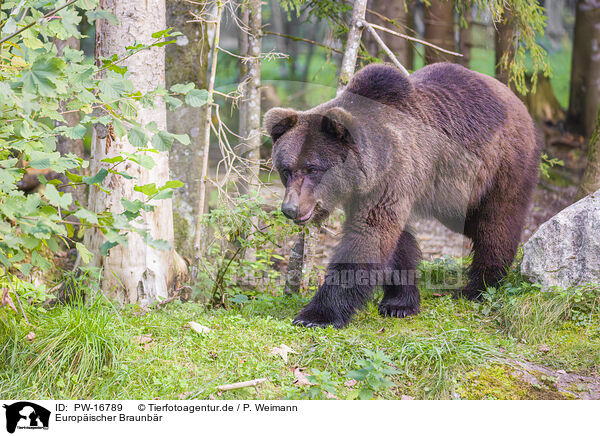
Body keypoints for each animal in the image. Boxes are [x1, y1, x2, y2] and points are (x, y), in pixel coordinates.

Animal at [264, 61, 540, 328]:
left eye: (313, 168)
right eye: (286, 170)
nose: (290, 208)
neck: (367, 171)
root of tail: (517, 99)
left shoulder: (393, 175)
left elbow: (366, 238)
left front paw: (316, 315)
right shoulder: (377, 191)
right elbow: (397, 242)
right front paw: (399, 302)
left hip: (501, 164)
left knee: (495, 222)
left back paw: (479, 286)